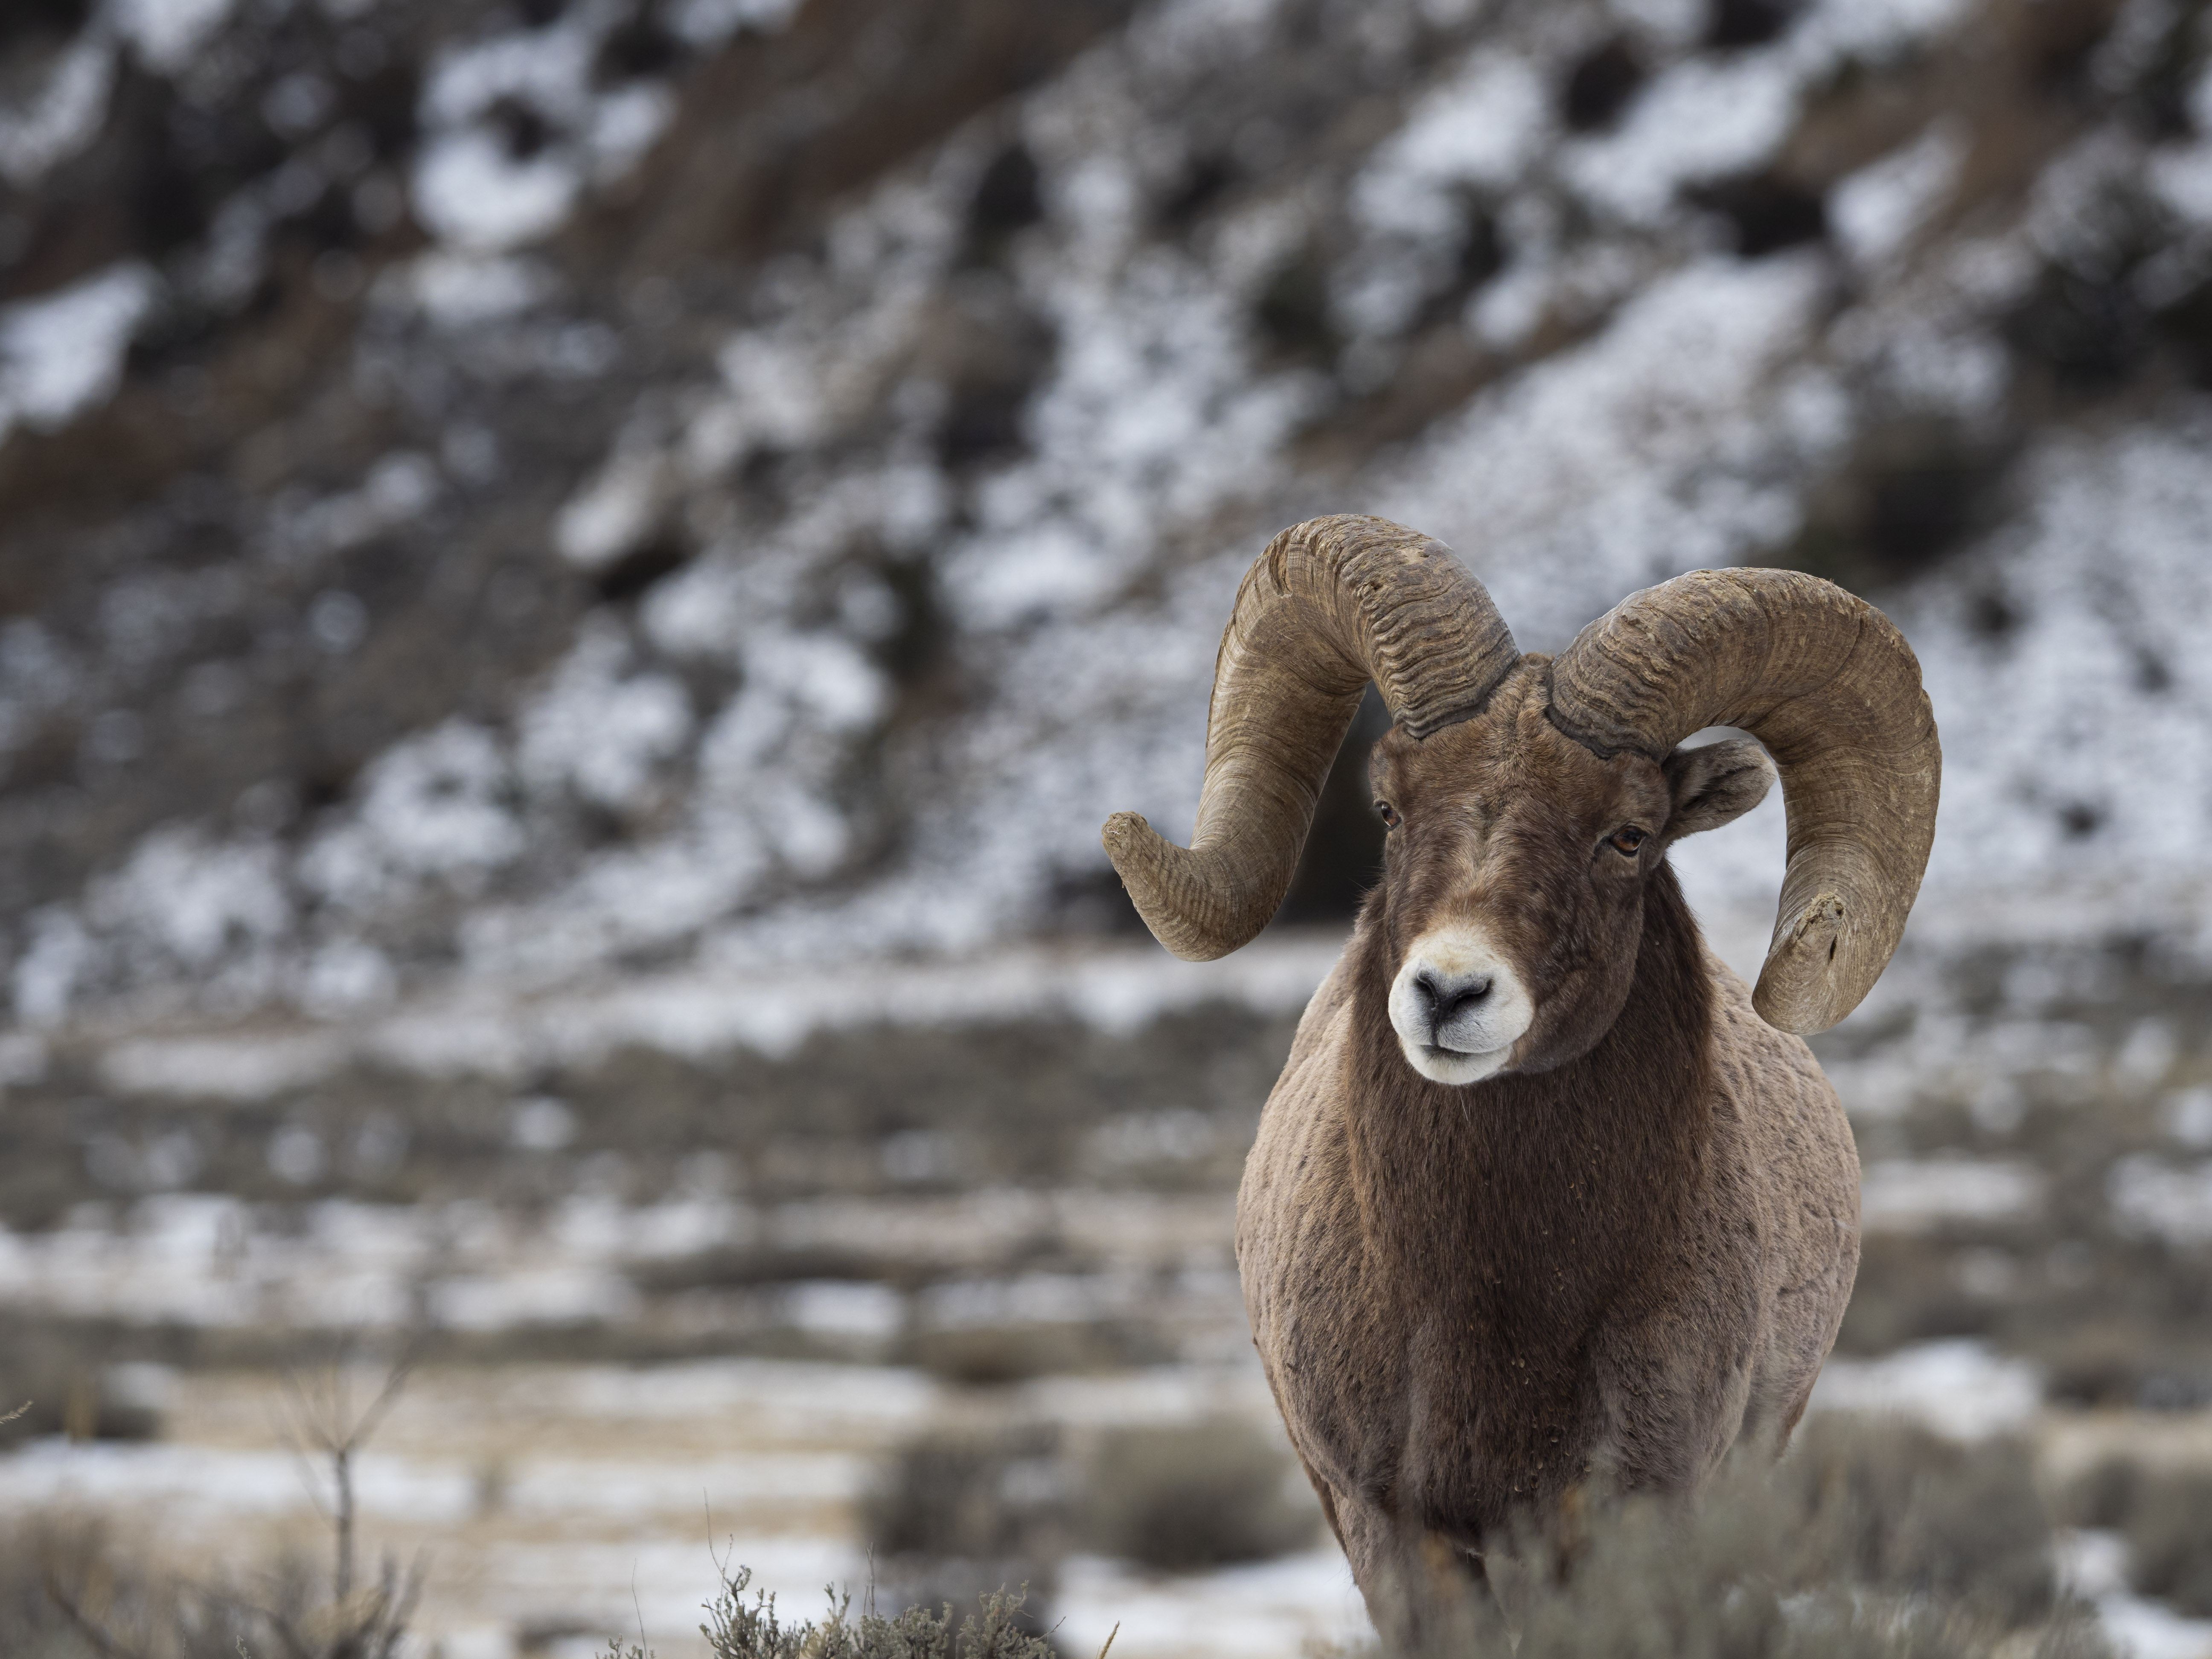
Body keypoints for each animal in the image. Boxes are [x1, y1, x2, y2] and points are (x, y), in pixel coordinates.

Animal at [1101, 514, 1939, 1640]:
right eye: (1388, 808)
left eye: (1628, 834)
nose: (1448, 993)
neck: (1493, 1308)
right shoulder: (1392, 1528)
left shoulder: (1626, 1523)